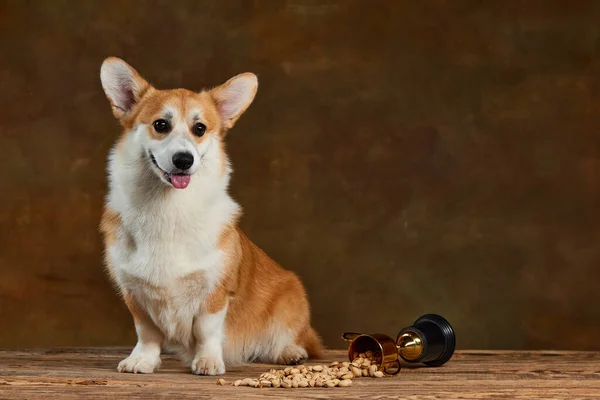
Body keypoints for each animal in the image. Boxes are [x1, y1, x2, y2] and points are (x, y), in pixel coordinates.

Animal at [99, 57, 324, 376]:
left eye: (200, 128)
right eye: (160, 124)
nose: (184, 160)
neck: (168, 209)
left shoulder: (215, 292)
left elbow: (206, 330)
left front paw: (207, 361)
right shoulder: (135, 292)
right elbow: (147, 332)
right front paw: (142, 360)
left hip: (290, 299)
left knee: (292, 338)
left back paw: (289, 352)